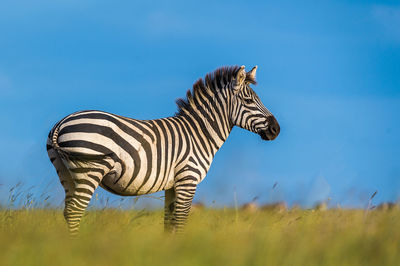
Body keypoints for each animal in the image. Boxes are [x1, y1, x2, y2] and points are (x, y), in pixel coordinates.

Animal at [46, 65, 278, 234]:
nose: (276, 129)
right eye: (248, 100)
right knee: (75, 211)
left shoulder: (172, 185)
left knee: (68, 211)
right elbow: (181, 221)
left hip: (67, 172)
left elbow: (169, 223)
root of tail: (61, 123)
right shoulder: (188, 179)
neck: (199, 133)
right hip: (90, 170)